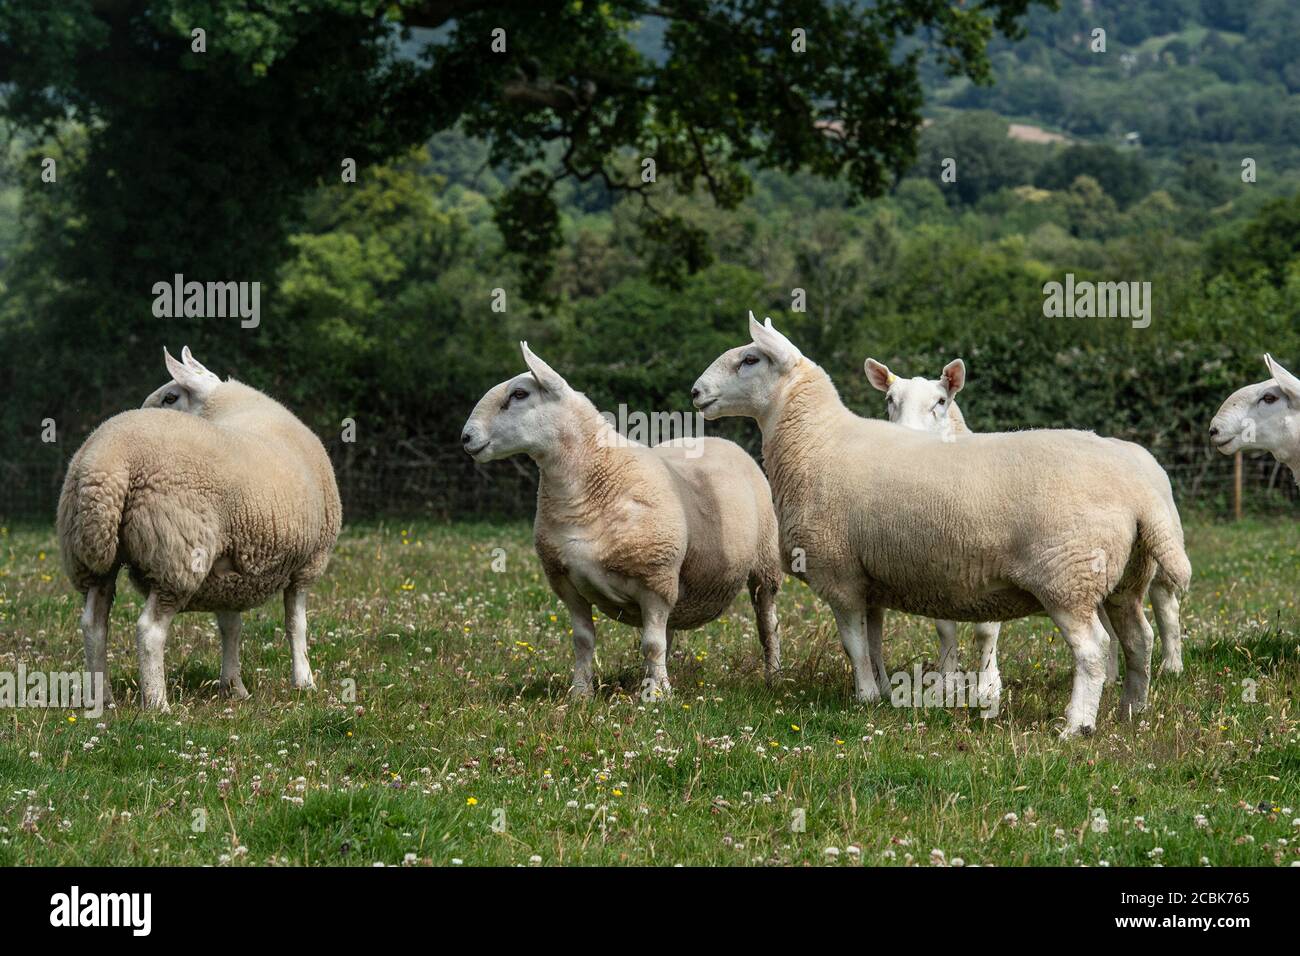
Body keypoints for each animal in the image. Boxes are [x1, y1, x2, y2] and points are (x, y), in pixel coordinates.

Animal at [56, 351, 343, 712]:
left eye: (170, 397)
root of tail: (109, 463)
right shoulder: (309, 563)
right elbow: (296, 625)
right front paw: (304, 681)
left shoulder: (231, 568)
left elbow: (231, 627)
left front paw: (233, 686)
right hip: (178, 554)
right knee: (149, 630)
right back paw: (157, 703)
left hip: (91, 557)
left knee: (93, 624)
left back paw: (101, 697)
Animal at [460, 343, 780, 697]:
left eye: (519, 394)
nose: (466, 437)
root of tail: (717, 440)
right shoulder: (566, 583)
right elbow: (584, 641)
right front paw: (581, 693)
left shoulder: (656, 581)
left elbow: (651, 644)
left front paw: (656, 695)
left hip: (765, 564)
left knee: (767, 624)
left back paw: (773, 674)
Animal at [863, 356, 1190, 681]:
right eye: (889, 400)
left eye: (941, 401)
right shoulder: (937, 569)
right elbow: (944, 629)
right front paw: (947, 679)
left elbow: (985, 631)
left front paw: (989, 684)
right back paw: (1110, 678)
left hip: (1159, 551)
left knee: (1167, 605)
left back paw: (1172, 666)